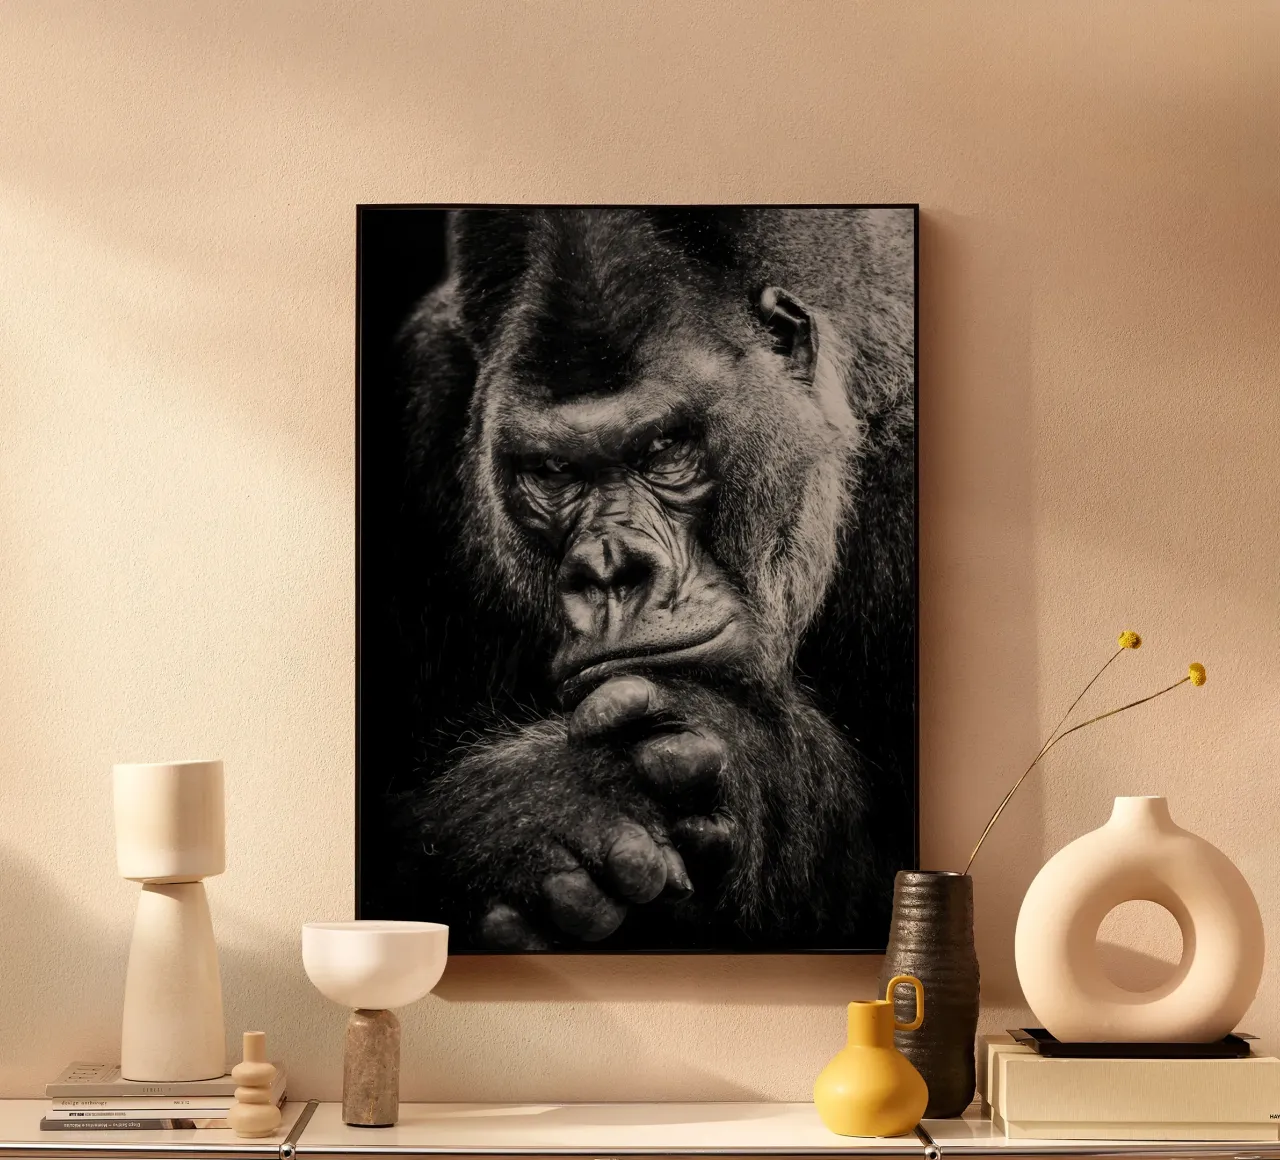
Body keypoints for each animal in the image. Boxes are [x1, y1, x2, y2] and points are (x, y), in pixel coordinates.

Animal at [368, 206, 916, 951]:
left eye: (663, 448)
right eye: (553, 471)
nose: (611, 570)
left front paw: (747, 762)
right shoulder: (421, 400)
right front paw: (530, 815)